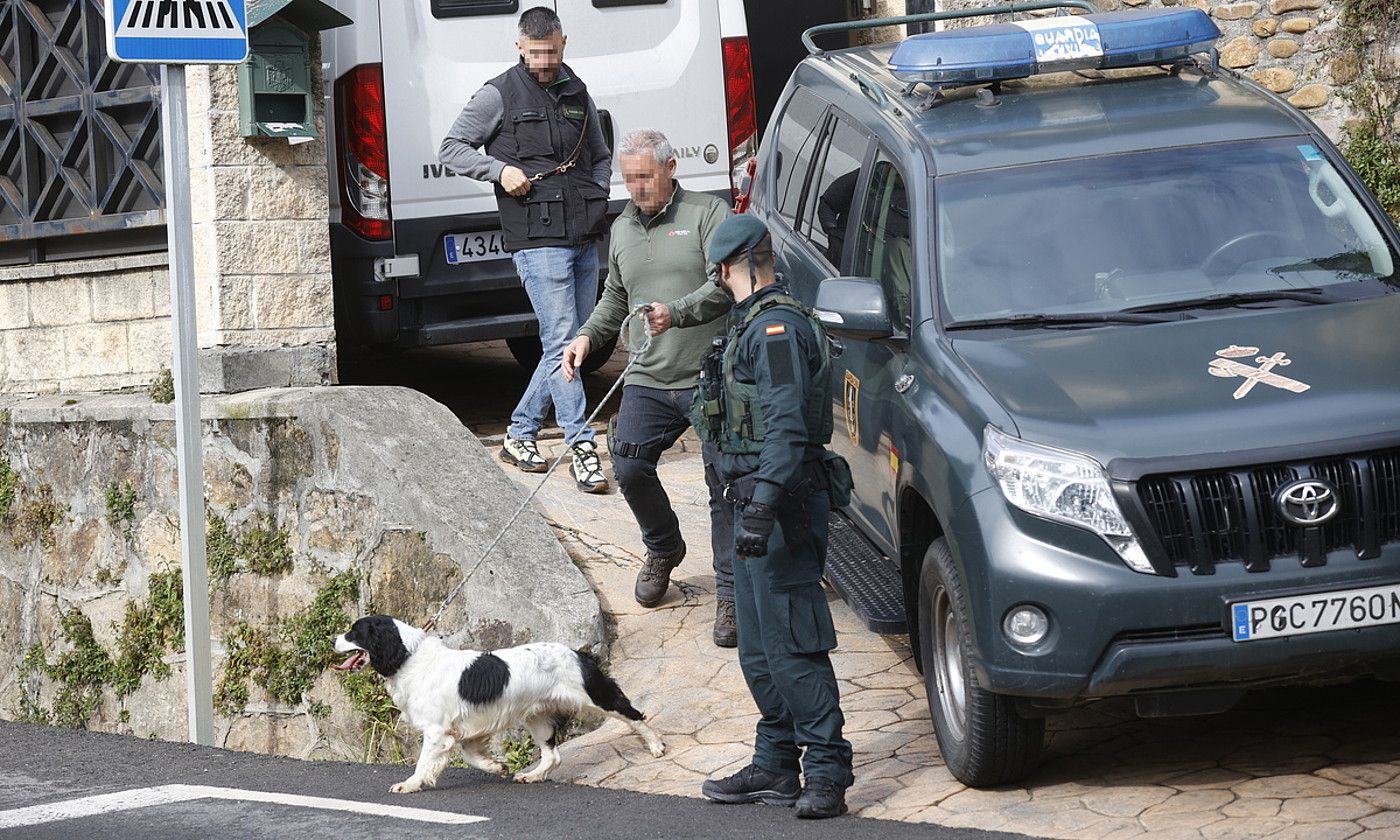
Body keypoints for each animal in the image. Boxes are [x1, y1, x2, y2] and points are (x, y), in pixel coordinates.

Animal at [337, 613, 666, 789]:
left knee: (633, 713)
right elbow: (472, 756)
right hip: (537, 717)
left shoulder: (436, 731)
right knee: (553, 756)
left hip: (596, 696)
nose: (332, 639)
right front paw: (498, 768)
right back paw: (532, 776)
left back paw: (656, 747)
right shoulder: (465, 729)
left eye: (353, 632)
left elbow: (423, 764)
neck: (410, 656)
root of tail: (578, 653)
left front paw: (409, 785)